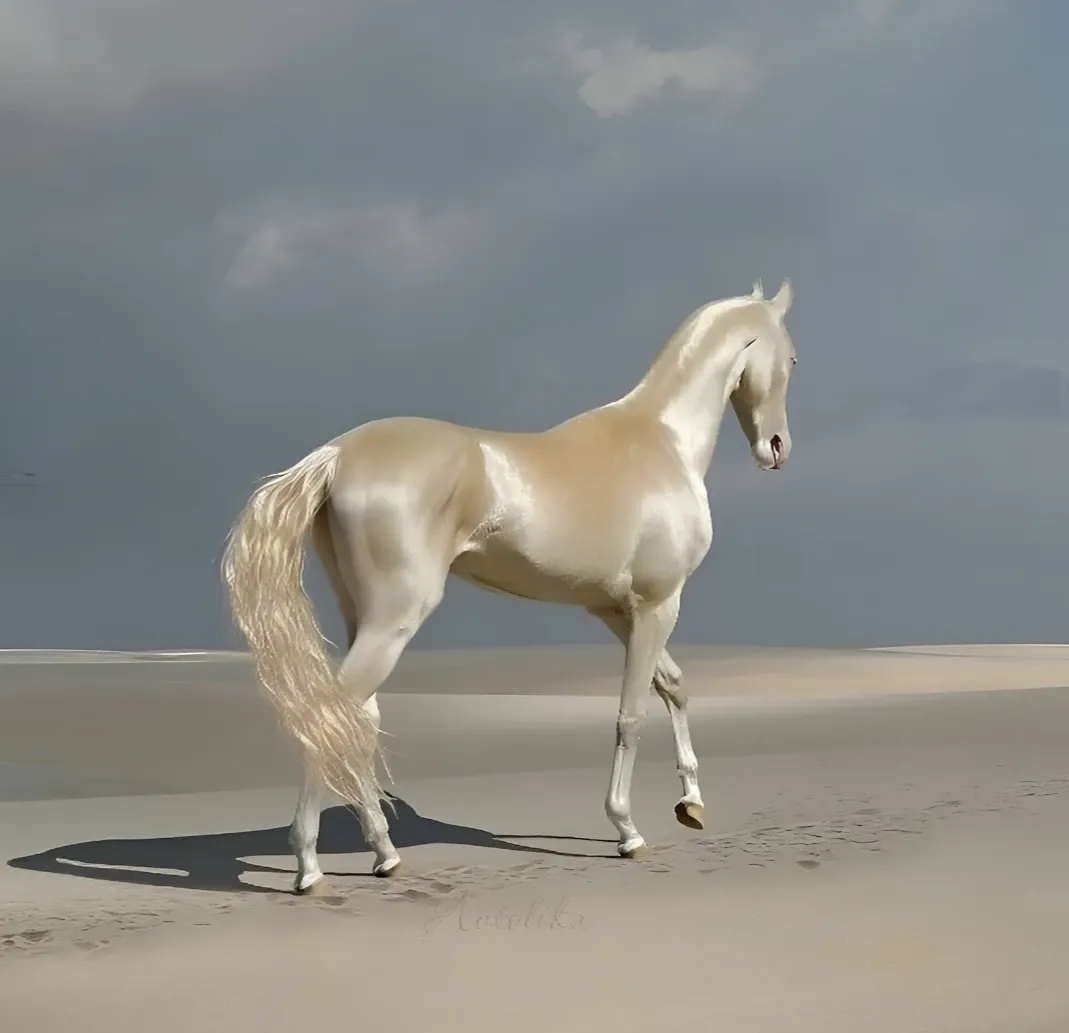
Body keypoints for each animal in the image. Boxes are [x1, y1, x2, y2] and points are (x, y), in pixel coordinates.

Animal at [222, 278, 798, 895]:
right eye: (791, 358)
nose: (776, 448)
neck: (661, 441)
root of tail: (336, 455)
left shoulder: (615, 610)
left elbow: (674, 686)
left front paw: (691, 803)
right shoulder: (657, 605)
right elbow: (632, 714)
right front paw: (627, 830)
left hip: (364, 619)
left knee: (356, 721)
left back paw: (384, 853)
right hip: (394, 621)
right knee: (331, 718)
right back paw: (309, 866)